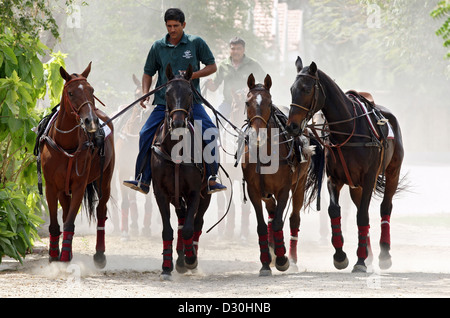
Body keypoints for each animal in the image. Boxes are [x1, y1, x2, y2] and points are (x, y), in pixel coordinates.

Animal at [38, 62, 115, 268]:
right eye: (71, 92)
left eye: (91, 90)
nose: (91, 121)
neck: (66, 145)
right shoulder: (52, 186)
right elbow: (57, 223)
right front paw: (54, 255)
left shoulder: (79, 185)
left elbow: (70, 222)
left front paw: (64, 257)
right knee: (65, 211)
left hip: (105, 180)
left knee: (101, 210)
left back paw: (100, 254)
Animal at [149, 64, 210, 278]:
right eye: (167, 92)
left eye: (190, 93)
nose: (177, 123)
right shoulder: (160, 193)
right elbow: (168, 230)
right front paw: (167, 266)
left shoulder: (194, 192)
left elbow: (189, 229)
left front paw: (191, 259)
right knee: (182, 219)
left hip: (206, 194)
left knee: (197, 223)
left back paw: (189, 257)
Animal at [243, 74, 320, 276]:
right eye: (247, 102)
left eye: (269, 103)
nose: (258, 136)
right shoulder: (254, 191)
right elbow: (263, 225)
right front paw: (265, 261)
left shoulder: (284, 189)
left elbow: (279, 222)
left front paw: (282, 259)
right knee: (271, 212)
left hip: (299, 184)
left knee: (293, 218)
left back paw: (290, 258)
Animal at [286, 56, 406, 270]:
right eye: (292, 89)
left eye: (306, 89)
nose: (292, 126)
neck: (348, 129)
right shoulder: (334, 179)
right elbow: (335, 210)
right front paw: (341, 255)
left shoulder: (369, 178)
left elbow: (363, 216)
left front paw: (360, 260)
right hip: (355, 185)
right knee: (360, 208)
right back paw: (369, 254)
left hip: (393, 171)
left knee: (385, 207)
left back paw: (384, 254)